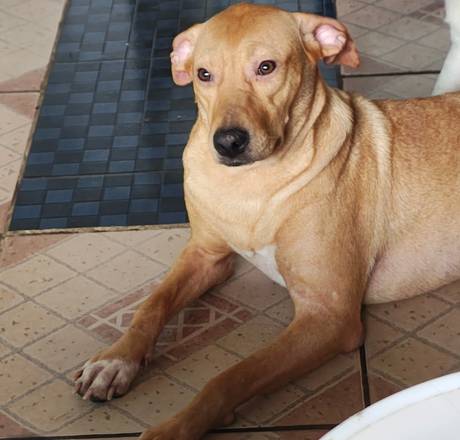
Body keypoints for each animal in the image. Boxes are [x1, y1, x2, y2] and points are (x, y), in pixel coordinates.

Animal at [74, 4, 460, 439]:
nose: (228, 142)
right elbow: (151, 305)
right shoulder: (206, 255)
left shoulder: (328, 315)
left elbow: (232, 376)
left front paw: (176, 426)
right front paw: (116, 359)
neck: (250, 186)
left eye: (266, 67)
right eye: (203, 74)